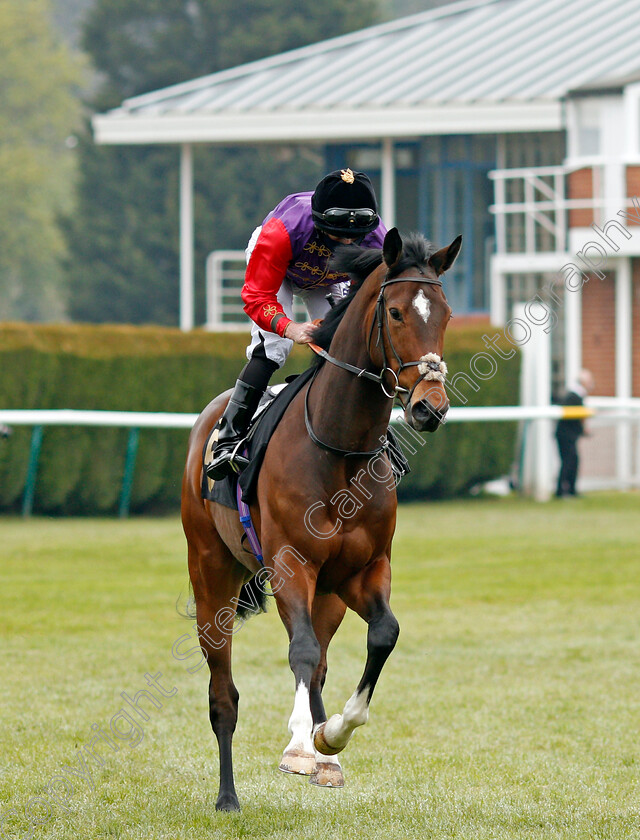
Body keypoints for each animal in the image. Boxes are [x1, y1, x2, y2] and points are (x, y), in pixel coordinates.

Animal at [180, 226, 460, 812]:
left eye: (445, 313)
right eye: (396, 313)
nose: (430, 406)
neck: (340, 449)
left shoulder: (362, 569)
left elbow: (383, 634)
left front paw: (329, 737)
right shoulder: (291, 564)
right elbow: (301, 652)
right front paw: (300, 746)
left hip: (326, 593)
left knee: (322, 661)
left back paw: (322, 752)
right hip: (211, 572)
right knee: (224, 691)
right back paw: (229, 794)